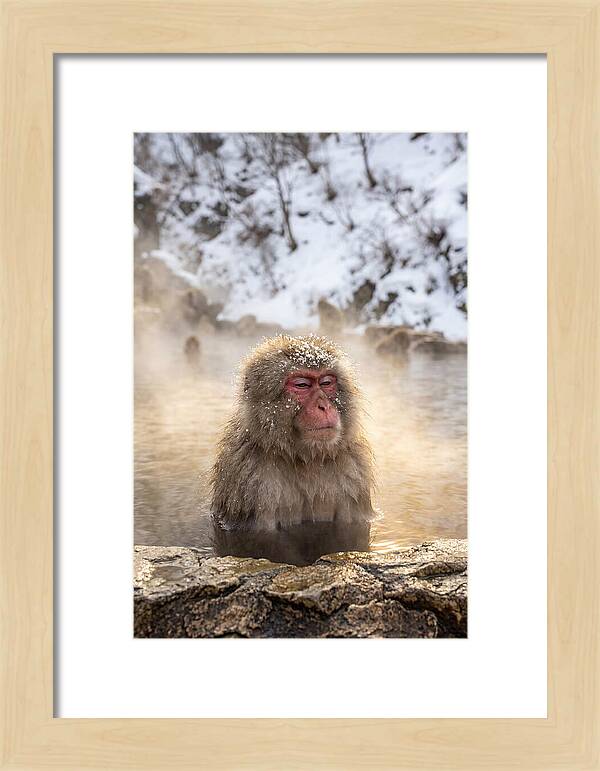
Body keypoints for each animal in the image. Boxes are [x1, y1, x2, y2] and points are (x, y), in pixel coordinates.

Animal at [210, 334, 377, 533]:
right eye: (302, 385)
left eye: (326, 382)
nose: (324, 406)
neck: (306, 459)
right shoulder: (250, 480)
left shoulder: (355, 473)